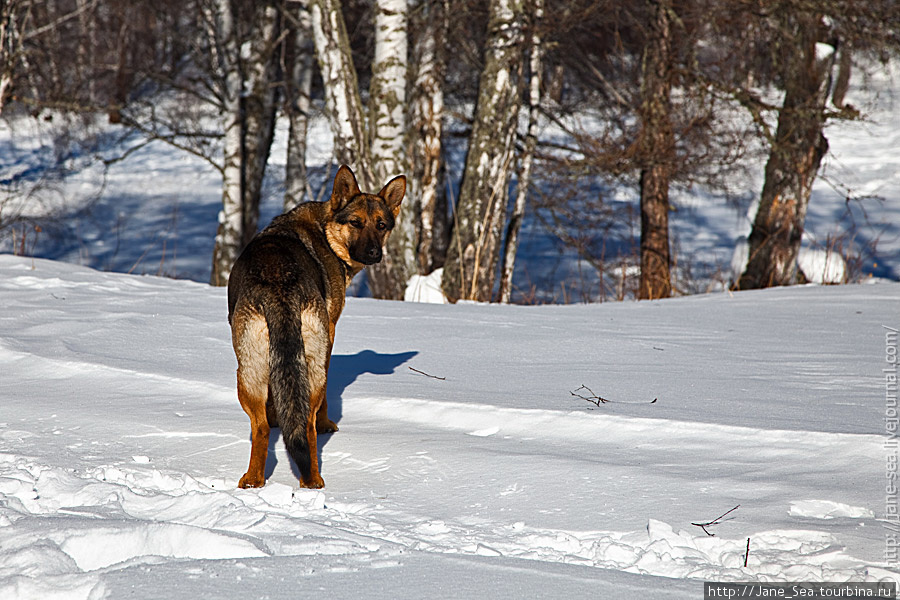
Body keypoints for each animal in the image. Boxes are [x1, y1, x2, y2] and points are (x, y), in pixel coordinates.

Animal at [227, 164, 406, 488]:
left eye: (382, 225)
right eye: (356, 223)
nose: (374, 253)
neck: (327, 231)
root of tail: (279, 289)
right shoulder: (330, 334)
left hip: (247, 373)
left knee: (264, 427)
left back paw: (259, 480)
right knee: (301, 425)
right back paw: (306, 479)